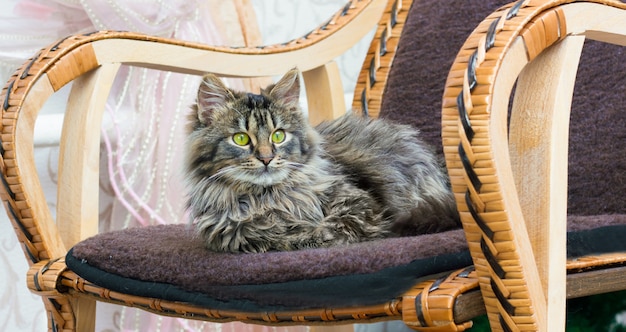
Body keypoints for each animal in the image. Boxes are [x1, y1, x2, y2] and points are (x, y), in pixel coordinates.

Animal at [185, 68, 458, 253]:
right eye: (241, 139)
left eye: (278, 135)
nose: (266, 158)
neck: (267, 198)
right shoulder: (231, 232)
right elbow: (268, 234)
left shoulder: (360, 203)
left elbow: (333, 227)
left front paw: (309, 234)